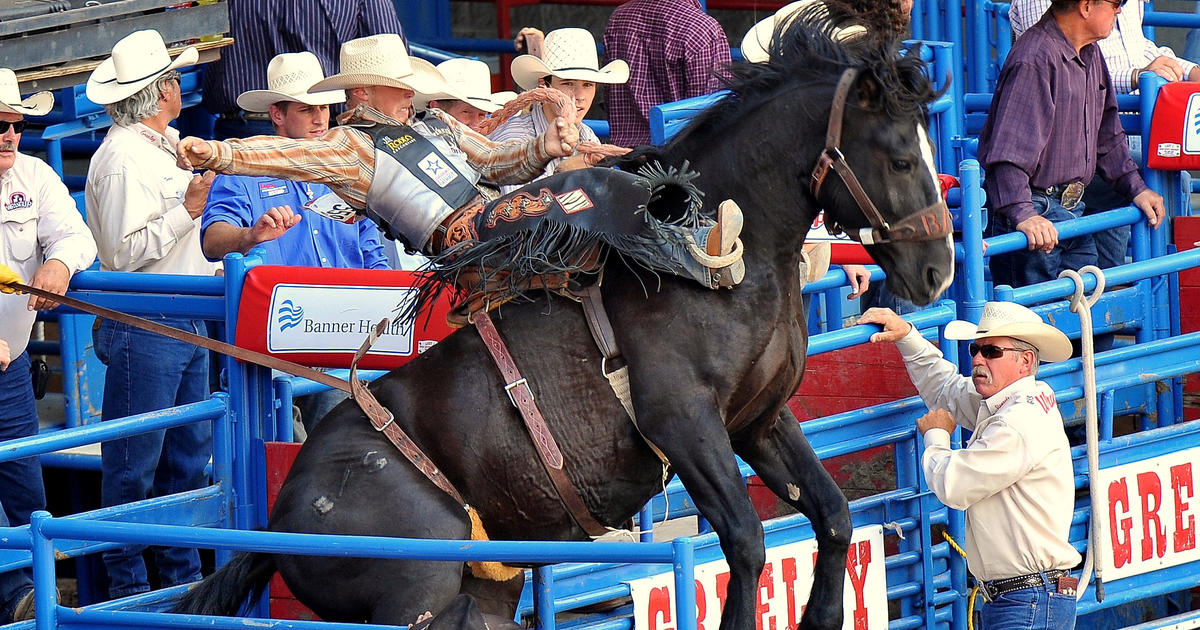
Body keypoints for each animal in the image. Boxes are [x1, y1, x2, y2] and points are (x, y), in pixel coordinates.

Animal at [174, 14, 955, 628]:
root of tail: (279, 521)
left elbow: (833, 515)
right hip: (418, 587)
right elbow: (745, 540)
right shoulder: (683, 422)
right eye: (899, 157)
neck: (726, 267)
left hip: (484, 584)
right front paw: (204, 155)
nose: (938, 271)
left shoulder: (758, 419)